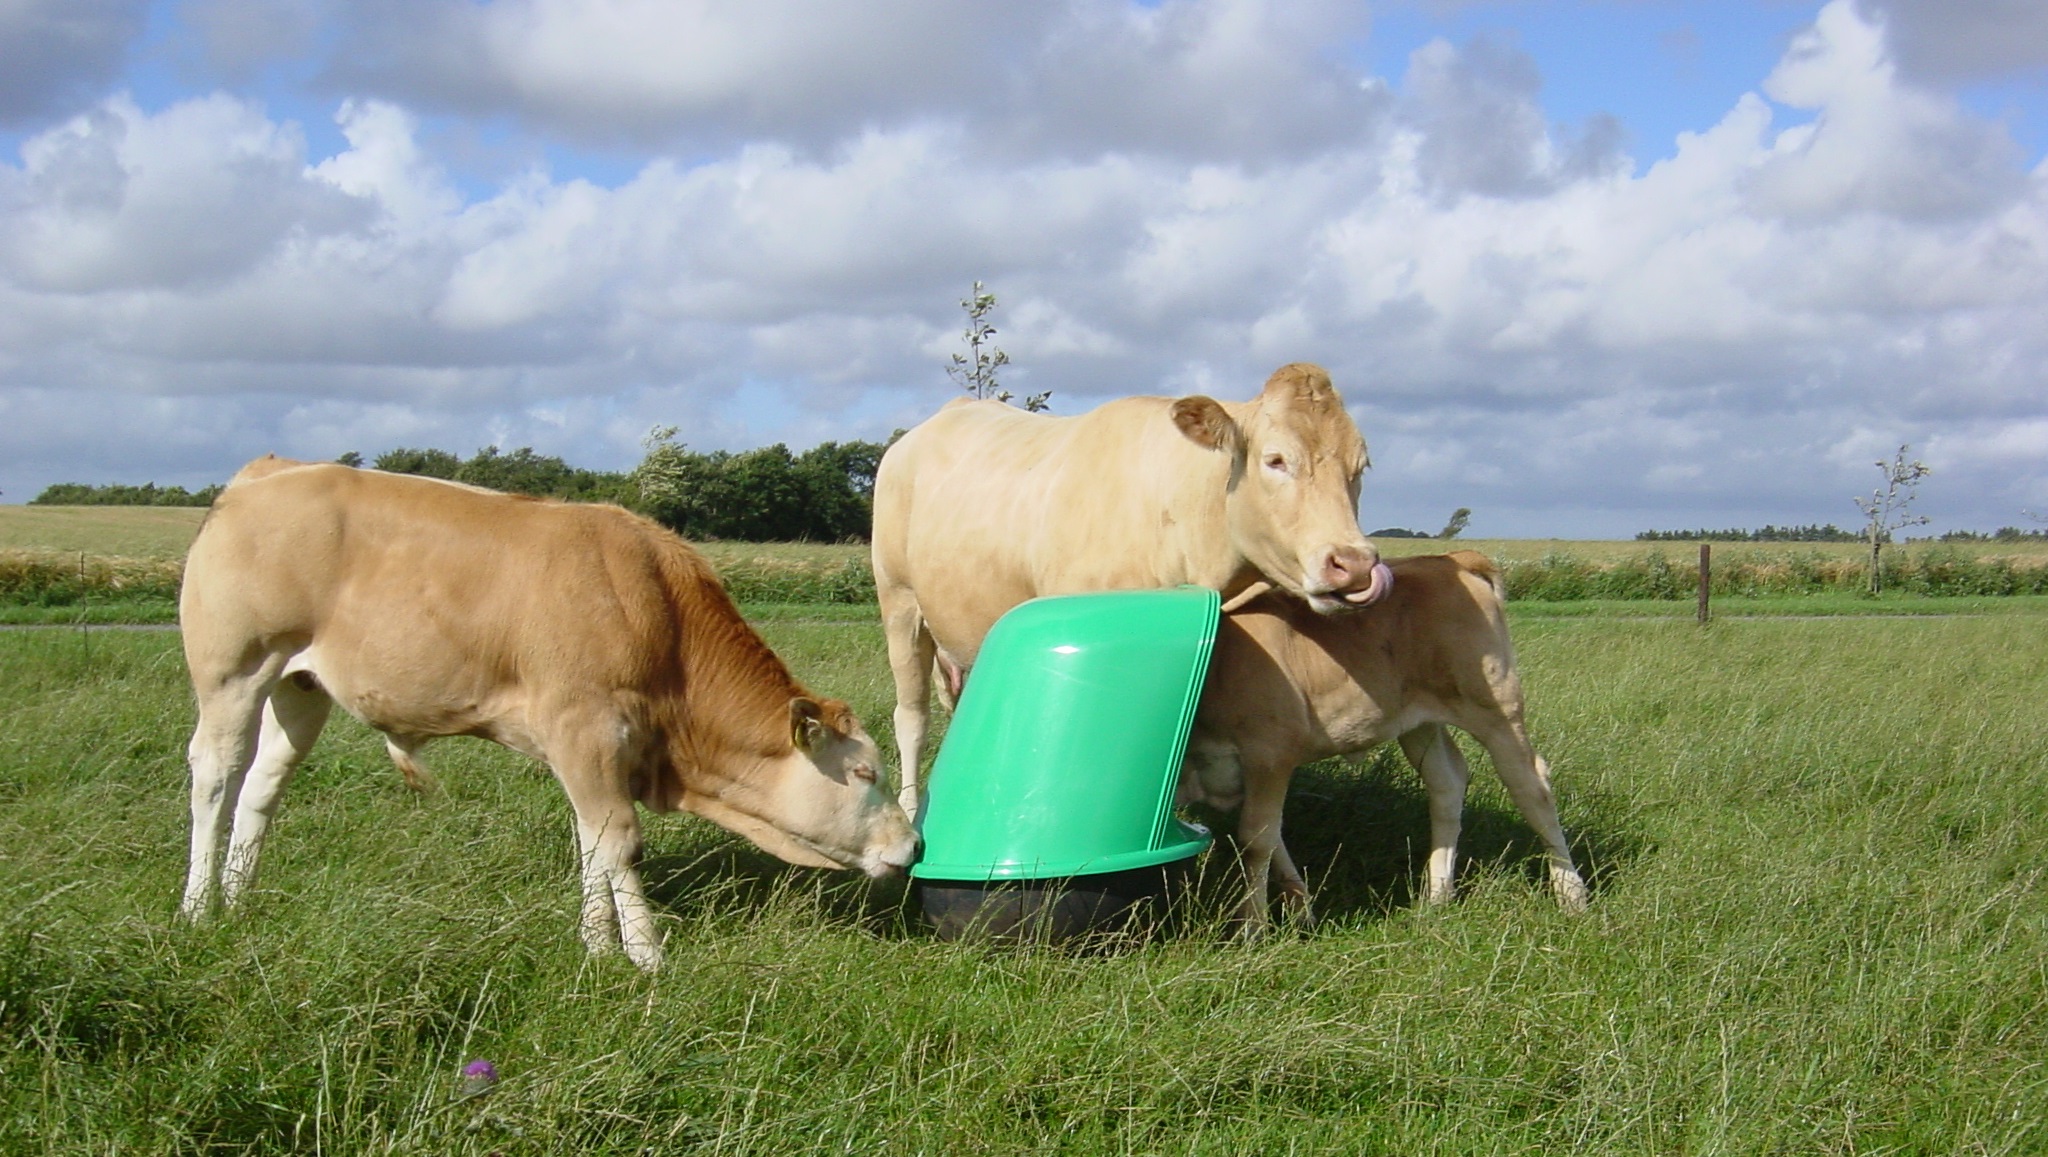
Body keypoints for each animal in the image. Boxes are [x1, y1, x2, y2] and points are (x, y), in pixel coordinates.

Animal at [177, 457, 918, 970]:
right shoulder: (586, 730)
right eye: (864, 774)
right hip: (232, 670)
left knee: (262, 787)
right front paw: (647, 955)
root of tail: (265, 473)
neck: (655, 611)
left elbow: (592, 841)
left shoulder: (590, 753)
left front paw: (598, 947)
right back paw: (199, 907)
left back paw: (240, 897)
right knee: (215, 778)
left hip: (298, 685)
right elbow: (620, 843)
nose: (913, 845)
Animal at [872, 363, 1390, 819]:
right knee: (911, 717)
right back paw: (912, 809)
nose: (1353, 565)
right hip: (899, 602)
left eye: (1360, 465)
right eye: (1276, 460)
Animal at [1179, 552, 1590, 932]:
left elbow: (1256, 839)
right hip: (1418, 722)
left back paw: (1571, 896)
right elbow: (1271, 834)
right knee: (1447, 782)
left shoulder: (1270, 753)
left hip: (1495, 707)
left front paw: (1252, 927)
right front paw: (1301, 910)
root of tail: (1450, 559)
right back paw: (1438, 895)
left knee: (1532, 788)